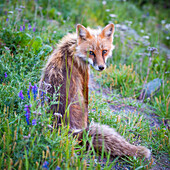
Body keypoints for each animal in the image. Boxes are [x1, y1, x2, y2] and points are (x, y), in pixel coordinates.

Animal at [39, 23, 150, 158]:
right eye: (91, 52)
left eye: (104, 51)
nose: (101, 67)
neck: (73, 49)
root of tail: (62, 127)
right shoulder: (84, 82)